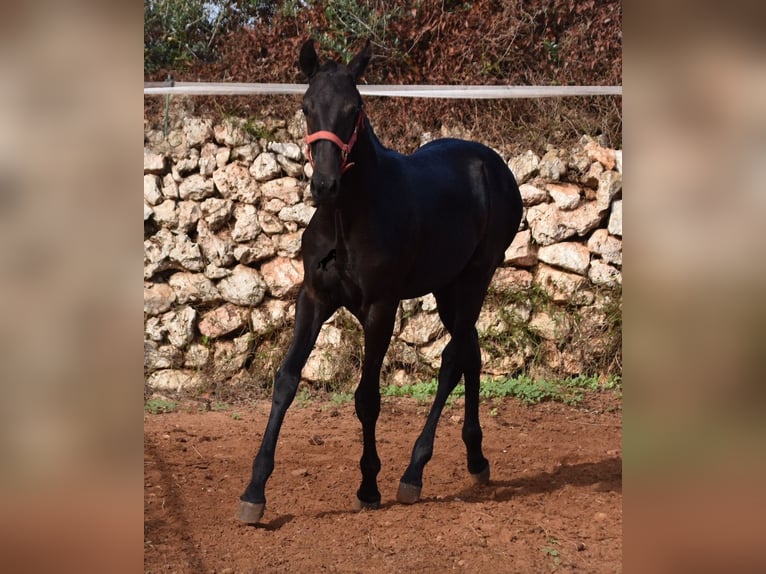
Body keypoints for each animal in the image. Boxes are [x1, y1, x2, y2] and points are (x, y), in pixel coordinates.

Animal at [240, 40, 524, 528]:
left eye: (354, 108)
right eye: (306, 106)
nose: (324, 185)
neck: (347, 217)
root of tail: (495, 166)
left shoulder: (380, 307)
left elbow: (367, 397)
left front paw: (368, 486)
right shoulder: (314, 299)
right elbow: (286, 380)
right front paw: (255, 491)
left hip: (477, 276)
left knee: (452, 359)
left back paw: (414, 472)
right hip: (447, 288)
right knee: (470, 352)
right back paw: (476, 459)